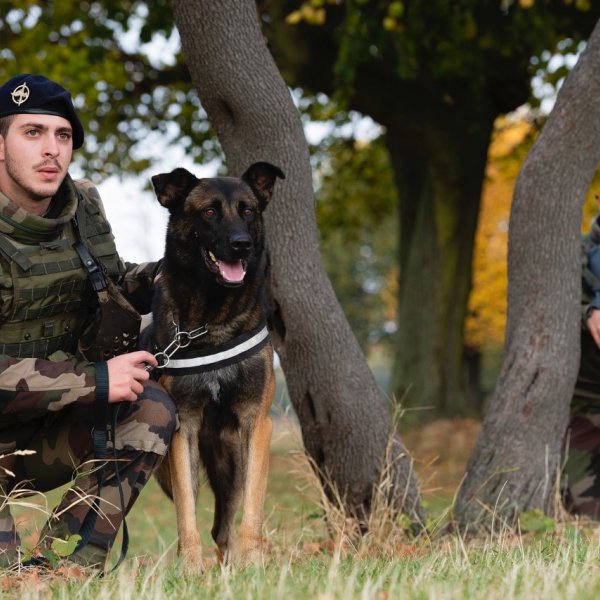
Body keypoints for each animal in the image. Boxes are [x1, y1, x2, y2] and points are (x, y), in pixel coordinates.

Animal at [147, 161, 284, 572]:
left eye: (248, 211)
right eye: (209, 211)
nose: (242, 244)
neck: (213, 319)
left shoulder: (256, 423)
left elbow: (253, 504)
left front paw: (252, 561)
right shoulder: (184, 428)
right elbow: (186, 511)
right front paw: (190, 566)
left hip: (231, 465)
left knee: (224, 526)